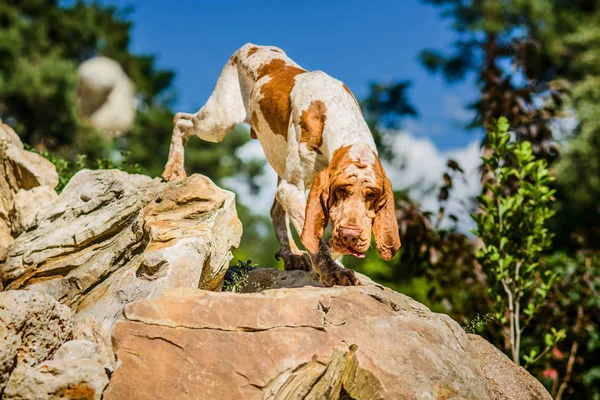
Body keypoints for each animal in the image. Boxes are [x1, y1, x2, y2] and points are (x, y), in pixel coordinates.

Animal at [162, 43, 400, 286]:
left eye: (372, 195)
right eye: (341, 190)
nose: (351, 236)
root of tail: (251, 46)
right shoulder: (292, 187)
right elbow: (316, 239)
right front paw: (332, 270)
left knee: (277, 211)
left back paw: (291, 254)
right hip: (218, 122)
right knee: (181, 120)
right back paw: (174, 169)